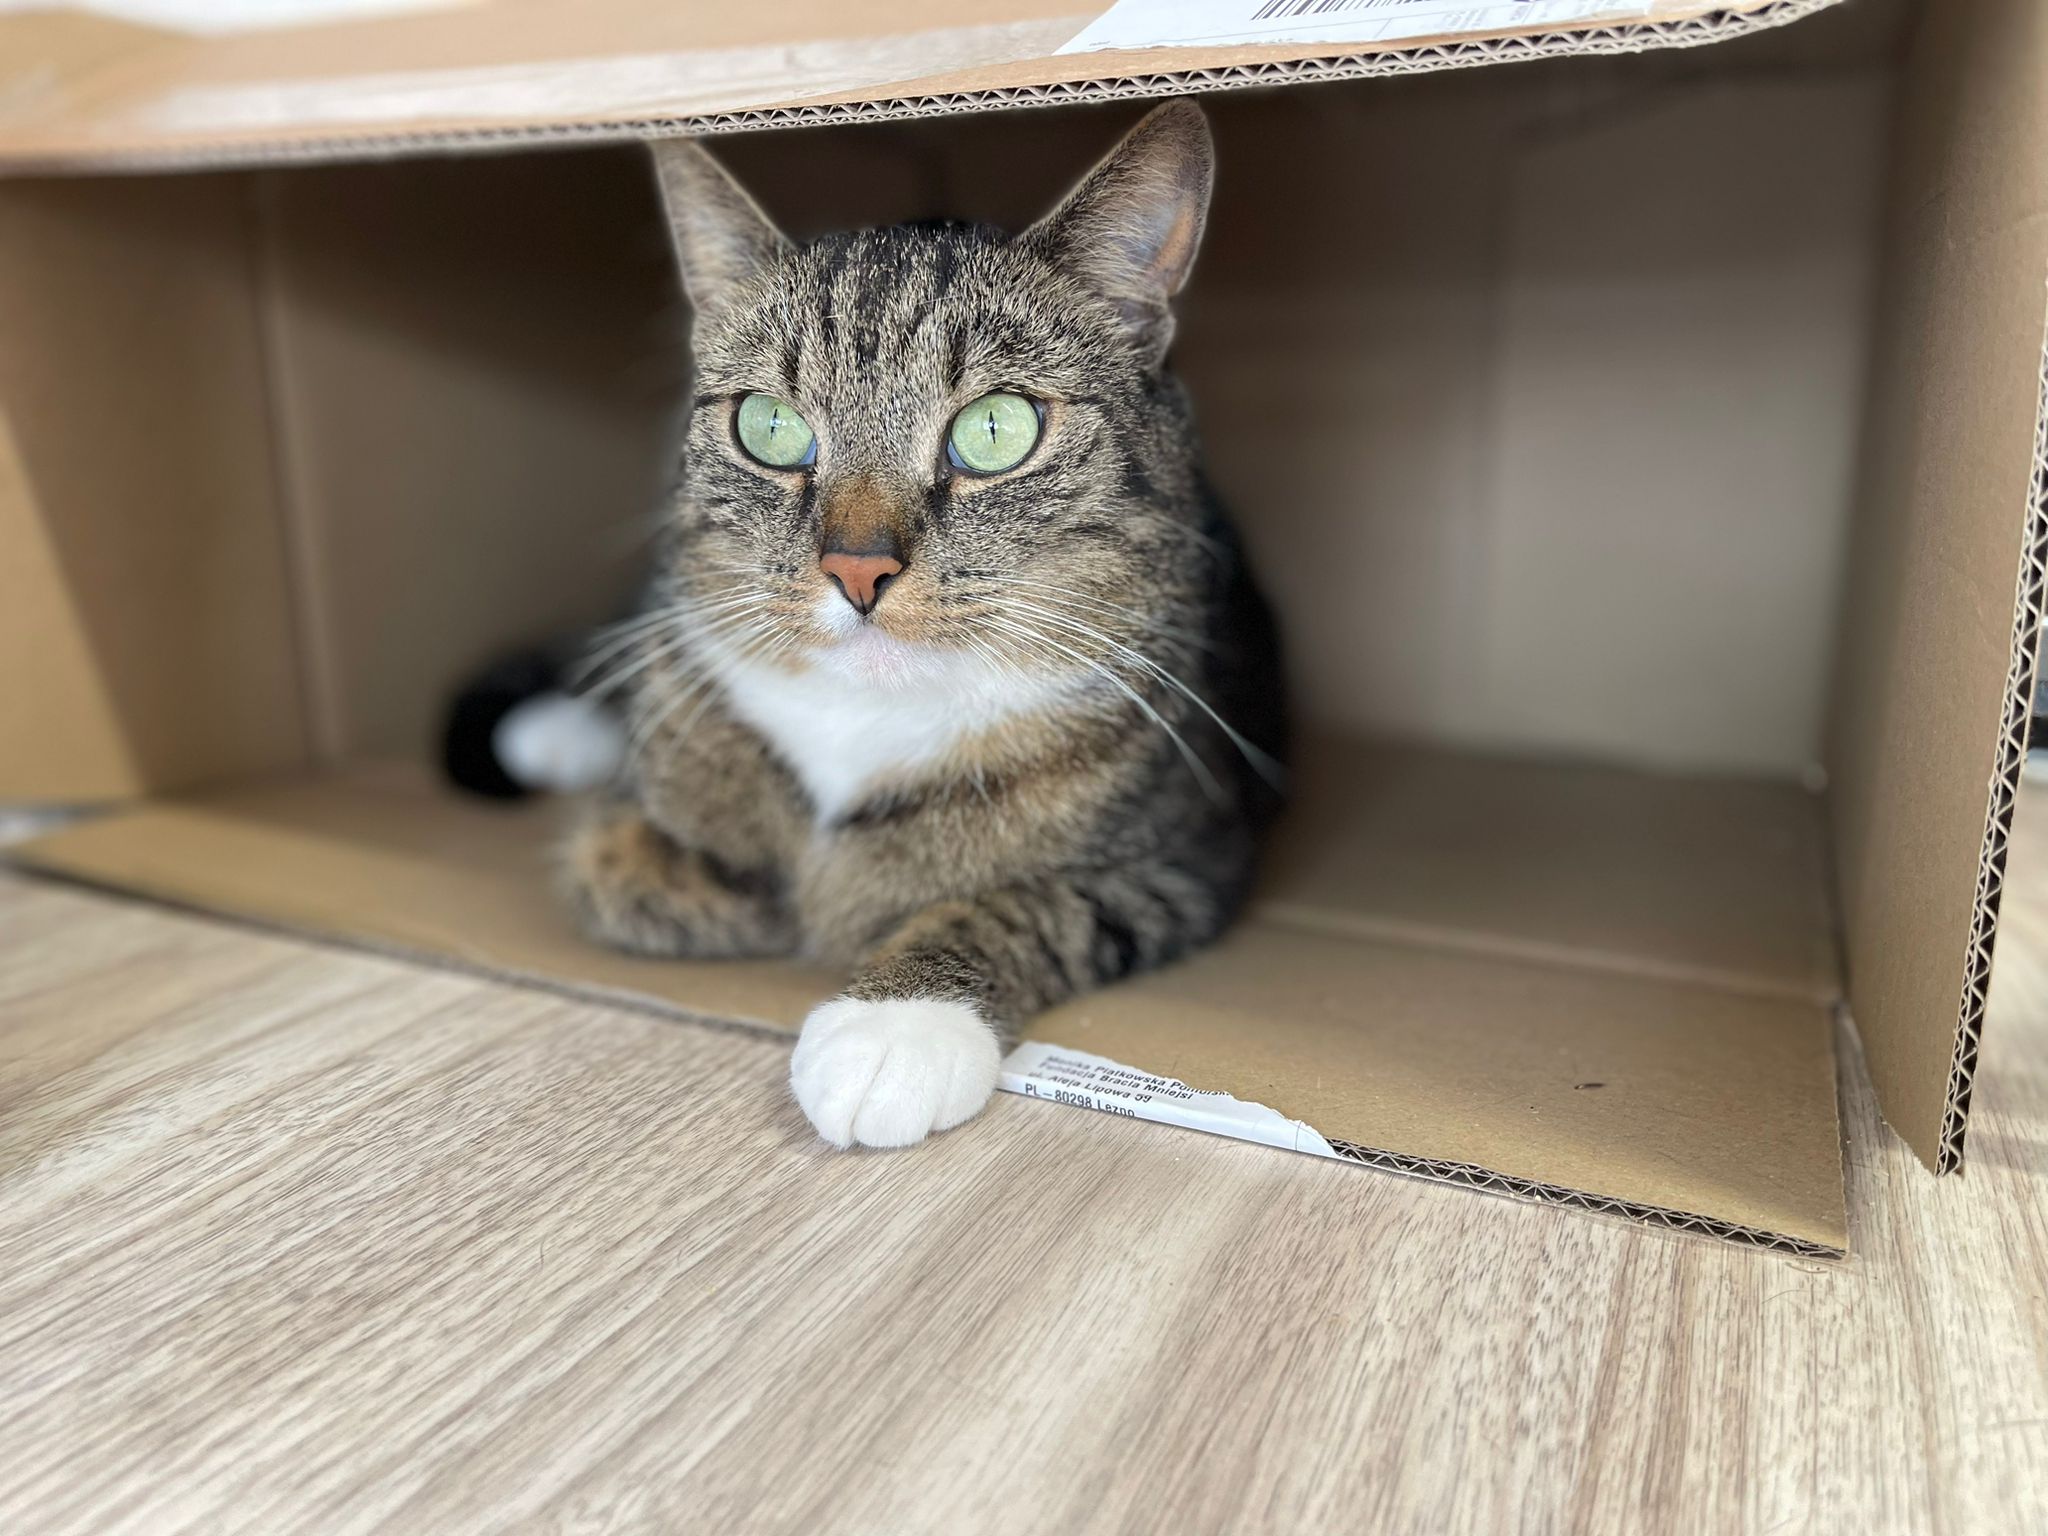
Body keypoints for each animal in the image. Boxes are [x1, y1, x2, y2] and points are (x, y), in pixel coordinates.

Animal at [561, 101, 1288, 1150]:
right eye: (770, 427)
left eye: (996, 431)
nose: (856, 568)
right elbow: (617, 861)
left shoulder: (1188, 858)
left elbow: (1026, 904)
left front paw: (894, 1026)